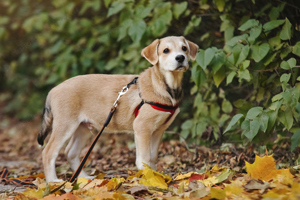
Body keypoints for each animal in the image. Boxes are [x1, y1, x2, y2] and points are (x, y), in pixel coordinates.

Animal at [38, 35, 197, 182]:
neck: (165, 85)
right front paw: (148, 177)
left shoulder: (158, 130)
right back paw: (53, 181)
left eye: (184, 48)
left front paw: (155, 176)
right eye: (165, 50)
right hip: (65, 125)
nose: (180, 58)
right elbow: (144, 158)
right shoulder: (142, 128)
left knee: (71, 152)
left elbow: (152, 157)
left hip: (83, 128)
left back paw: (84, 178)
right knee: (48, 152)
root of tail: (53, 90)